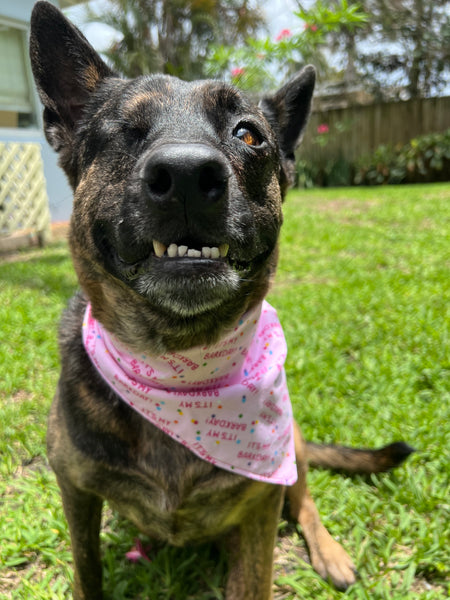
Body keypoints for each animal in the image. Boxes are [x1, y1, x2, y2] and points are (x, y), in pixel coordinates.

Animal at [29, 2, 414, 596]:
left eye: (247, 135)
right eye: (124, 132)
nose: (186, 175)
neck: (177, 366)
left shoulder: (259, 507)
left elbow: (257, 569)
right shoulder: (76, 490)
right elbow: (87, 569)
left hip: (292, 446)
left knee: (305, 502)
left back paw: (329, 552)